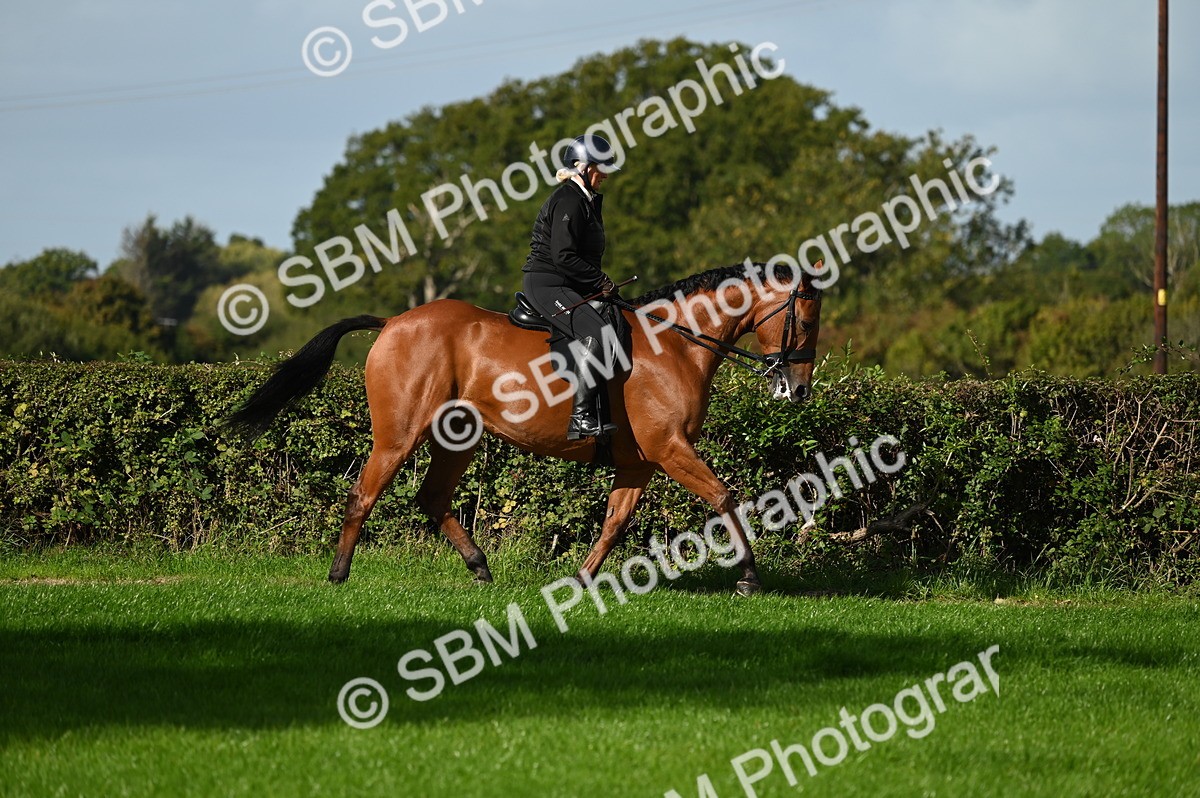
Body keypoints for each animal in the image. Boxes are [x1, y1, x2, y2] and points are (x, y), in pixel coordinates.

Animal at [227, 260, 823, 596]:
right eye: (807, 319)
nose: (798, 390)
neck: (674, 343)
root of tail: (394, 321)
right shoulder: (669, 448)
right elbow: (725, 497)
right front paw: (749, 578)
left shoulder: (639, 462)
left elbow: (615, 522)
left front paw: (582, 580)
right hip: (399, 435)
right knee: (363, 494)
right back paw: (338, 574)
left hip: (458, 438)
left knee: (432, 497)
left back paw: (479, 567)